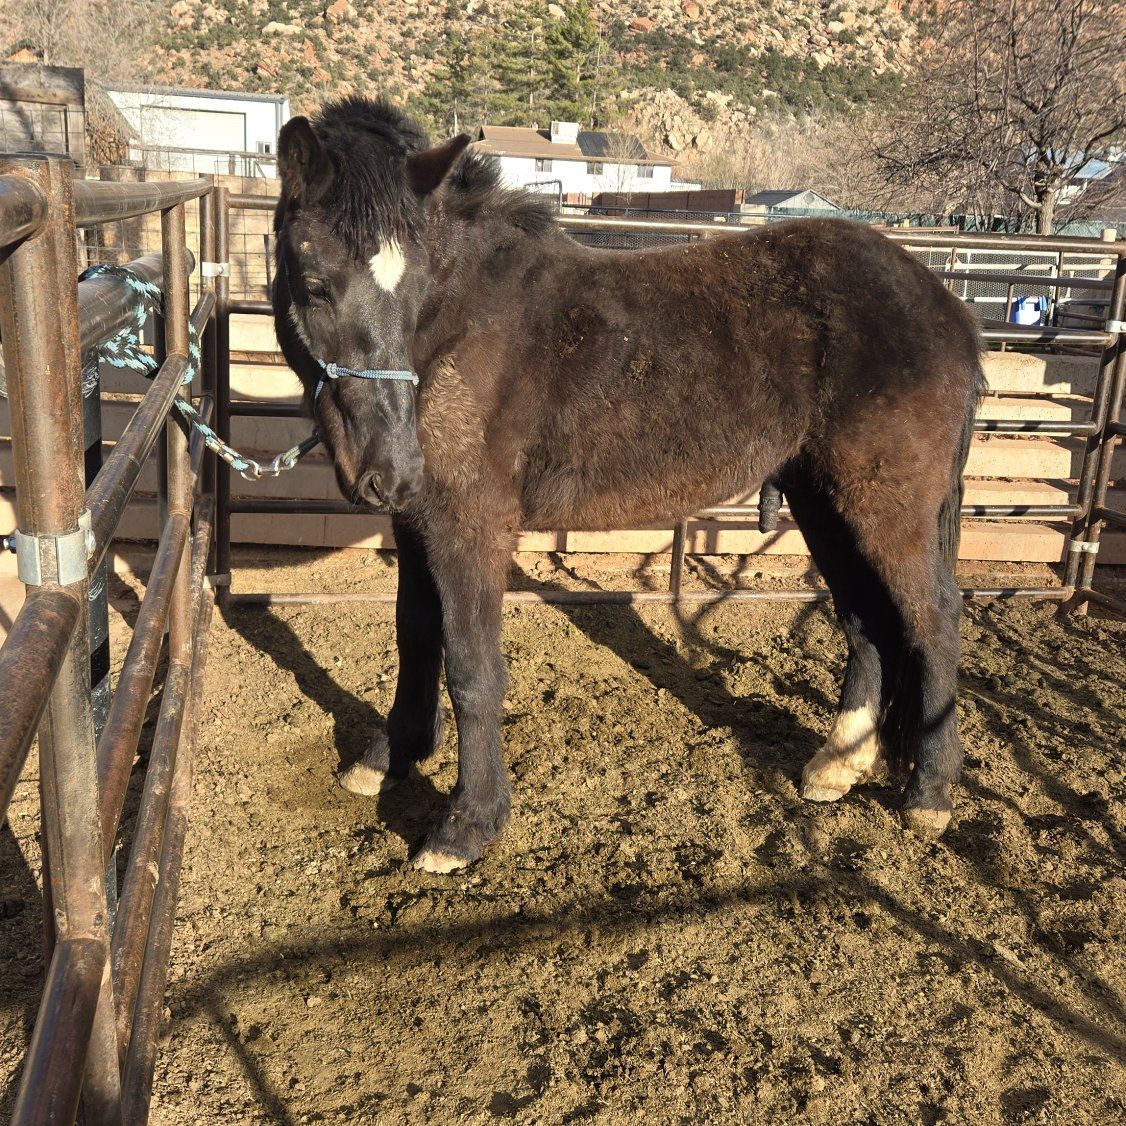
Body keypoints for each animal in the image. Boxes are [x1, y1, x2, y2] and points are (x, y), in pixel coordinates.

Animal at [272, 96, 984, 873]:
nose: (386, 469)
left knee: (934, 619)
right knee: (866, 621)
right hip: (824, 501)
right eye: (315, 286)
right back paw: (837, 765)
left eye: (418, 288)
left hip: (887, 506)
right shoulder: (417, 519)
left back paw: (930, 795)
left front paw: (467, 825)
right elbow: (415, 635)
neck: (461, 327)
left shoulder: (469, 523)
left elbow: (470, 666)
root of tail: (947, 307)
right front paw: (389, 758)